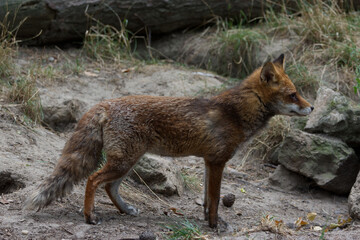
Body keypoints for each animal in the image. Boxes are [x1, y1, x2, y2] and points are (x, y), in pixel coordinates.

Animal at [24, 54, 312, 229]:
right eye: (293, 95)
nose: (311, 108)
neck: (235, 113)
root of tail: (105, 103)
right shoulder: (218, 161)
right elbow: (215, 199)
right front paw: (215, 226)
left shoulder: (209, 162)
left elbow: (207, 199)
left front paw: (207, 221)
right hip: (124, 161)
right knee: (94, 180)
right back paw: (89, 216)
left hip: (128, 161)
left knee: (109, 187)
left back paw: (125, 210)